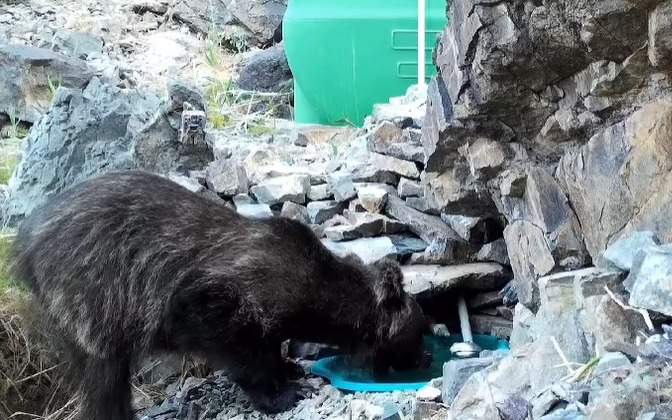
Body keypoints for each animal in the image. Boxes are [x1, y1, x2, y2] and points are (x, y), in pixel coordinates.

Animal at [13, 169, 434, 418]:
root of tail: (25, 244)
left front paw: (288, 369)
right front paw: (277, 394)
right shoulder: (211, 299)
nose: (427, 356)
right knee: (104, 378)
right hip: (94, 297)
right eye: (420, 330)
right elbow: (238, 347)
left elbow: (270, 346)